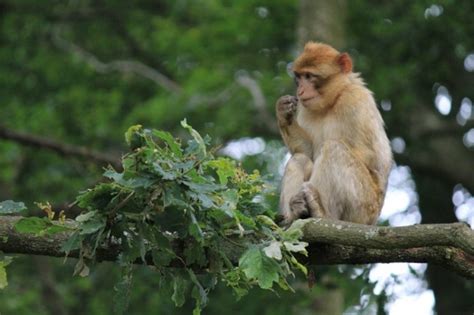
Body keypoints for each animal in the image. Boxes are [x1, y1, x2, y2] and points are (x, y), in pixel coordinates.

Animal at [276, 42, 390, 227]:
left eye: (309, 76)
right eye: (299, 77)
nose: (300, 91)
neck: (333, 100)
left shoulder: (354, 100)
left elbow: (369, 158)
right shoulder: (305, 109)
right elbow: (308, 152)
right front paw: (283, 113)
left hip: (362, 208)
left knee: (333, 148)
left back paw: (321, 213)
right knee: (301, 158)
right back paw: (296, 213)